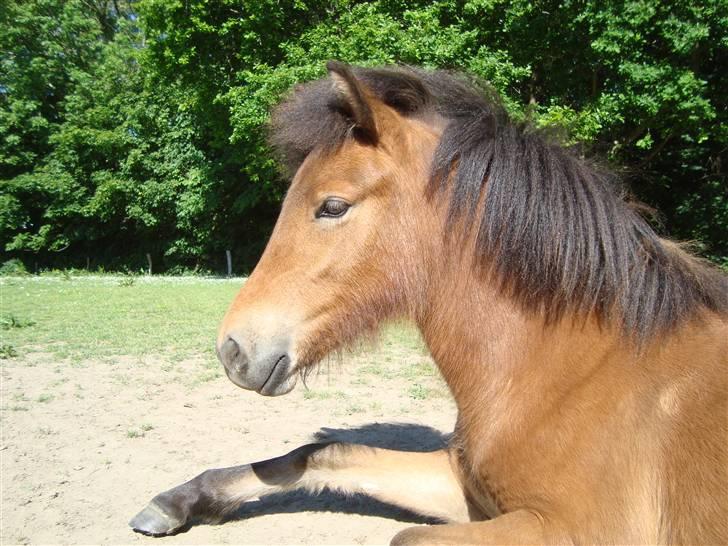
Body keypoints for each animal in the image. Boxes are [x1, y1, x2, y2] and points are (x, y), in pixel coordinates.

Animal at [131, 61, 728, 540]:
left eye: (332, 206)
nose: (233, 350)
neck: (569, 375)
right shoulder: (462, 485)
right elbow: (321, 453)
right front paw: (179, 501)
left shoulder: (575, 529)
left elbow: (403, 535)